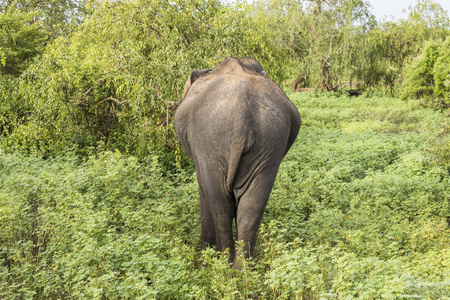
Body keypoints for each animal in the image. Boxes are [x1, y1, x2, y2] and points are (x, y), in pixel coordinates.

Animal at [174, 57, 300, 268]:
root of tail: (243, 114)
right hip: (270, 141)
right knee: (250, 209)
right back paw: (243, 268)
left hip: (209, 141)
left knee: (220, 206)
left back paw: (223, 263)